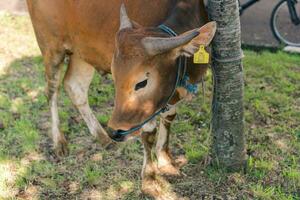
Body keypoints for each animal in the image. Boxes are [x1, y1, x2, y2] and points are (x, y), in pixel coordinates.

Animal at [27, 0, 216, 195]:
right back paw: (59, 141)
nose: (114, 131)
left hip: (82, 53)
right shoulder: (145, 112)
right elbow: (149, 133)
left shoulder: (168, 96)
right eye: (115, 77)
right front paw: (150, 179)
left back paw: (102, 137)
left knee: (74, 86)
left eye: (142, 82)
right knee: (52, 91)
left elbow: (168, 118)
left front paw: (166, 162)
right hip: (51, 48)